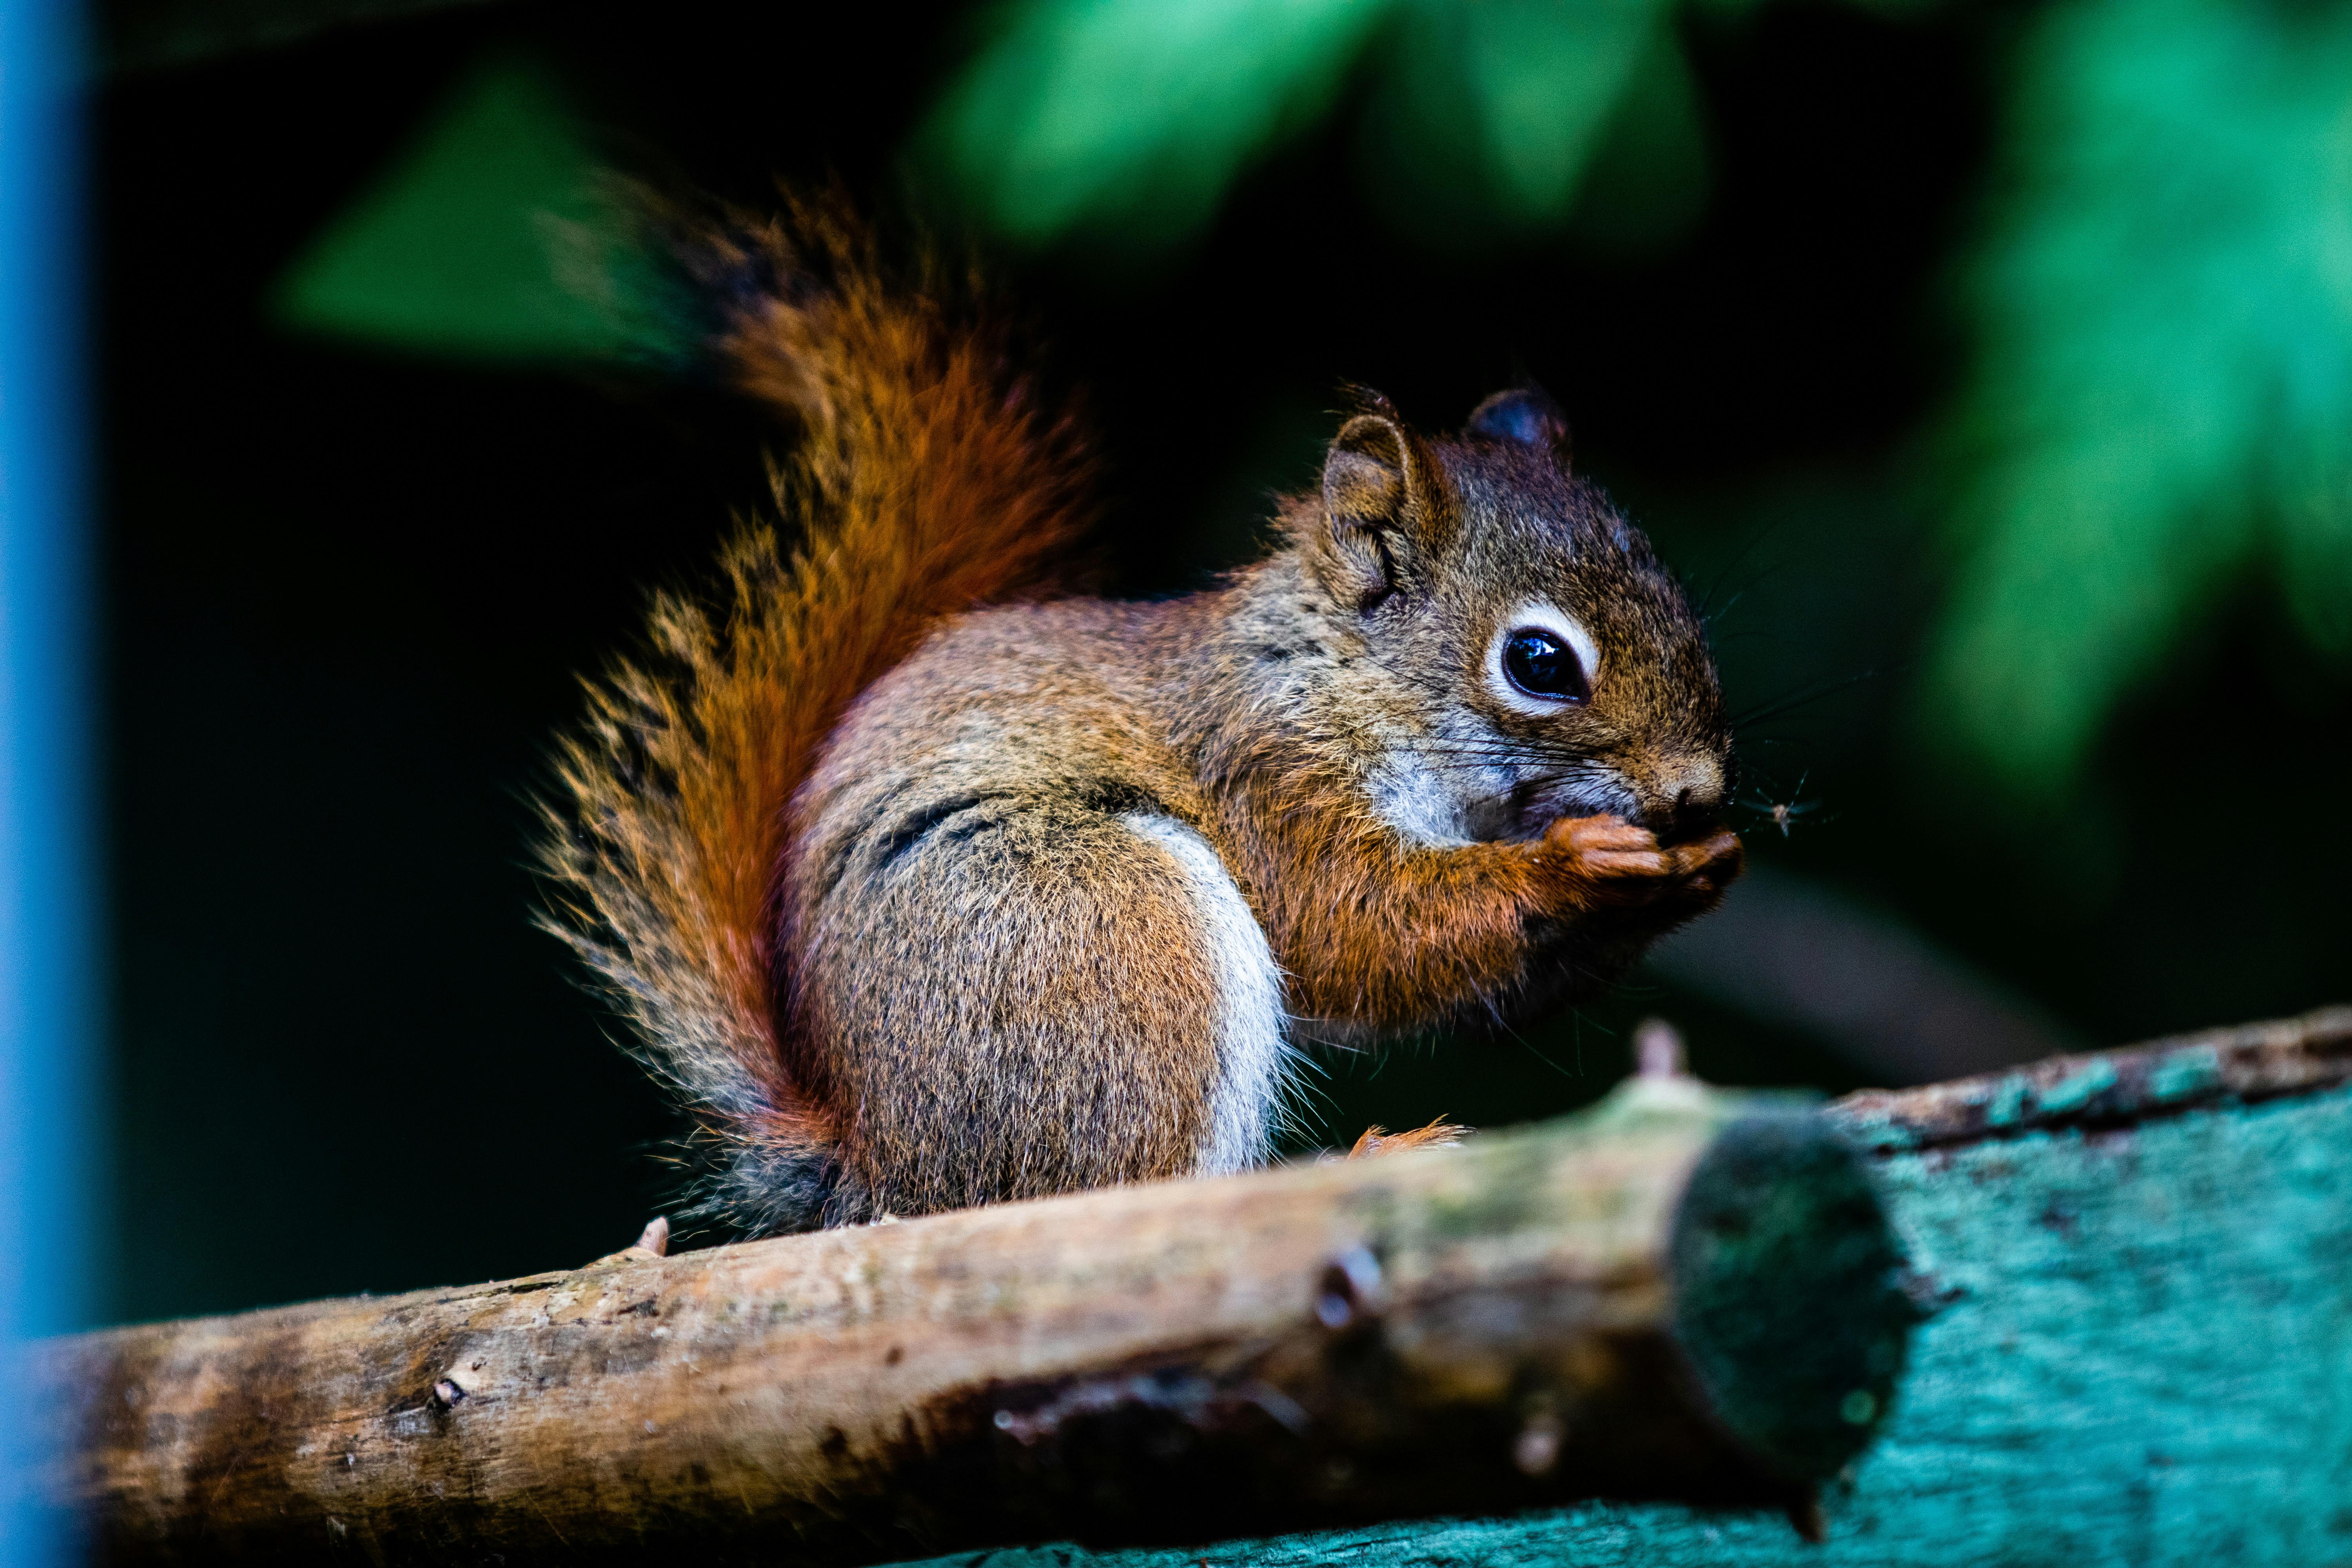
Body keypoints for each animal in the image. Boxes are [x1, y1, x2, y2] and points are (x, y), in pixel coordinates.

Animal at [539, 197, 1743, 1237]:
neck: (1343, 675)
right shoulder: (1267, 770)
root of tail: (887, 1176)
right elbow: (1356, 927)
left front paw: (1697, 868)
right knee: (1120, 1190)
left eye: (1678, 598)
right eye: (1539, 662)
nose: (1697, 789)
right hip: (1099, 931)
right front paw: (1578, 862)